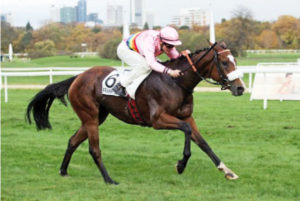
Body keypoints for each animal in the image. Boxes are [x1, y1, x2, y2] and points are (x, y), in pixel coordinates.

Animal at [27, 41, 245, 185]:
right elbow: (186, 131)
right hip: (90, 117)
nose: (241, 88)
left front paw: (227, 171)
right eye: (224, 62)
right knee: (94, 149)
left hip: (96, 117)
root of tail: (78, 77)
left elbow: (204, 143)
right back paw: (109, 179)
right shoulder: (158, 120)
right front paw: (181, 165)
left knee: (73, 140)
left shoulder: (187, 116)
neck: (176, 82)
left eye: (234, 60)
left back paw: (64, 170)